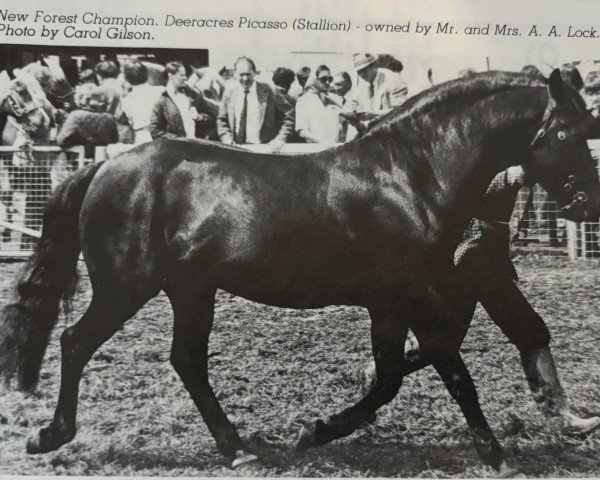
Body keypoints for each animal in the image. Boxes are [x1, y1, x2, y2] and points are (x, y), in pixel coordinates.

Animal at [1, 69, 600, 470]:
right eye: (570, 133)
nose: (588, 203)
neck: (411, 177)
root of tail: (103, 167)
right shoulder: (416, 295)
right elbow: (454, 373)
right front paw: (495, 453)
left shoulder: (389, 303)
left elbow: (389, 378)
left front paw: (317, 431)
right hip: (126, 287)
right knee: (77, 342)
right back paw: (50, 436)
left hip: (190, 290)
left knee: (186, 361)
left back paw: (238, 449)